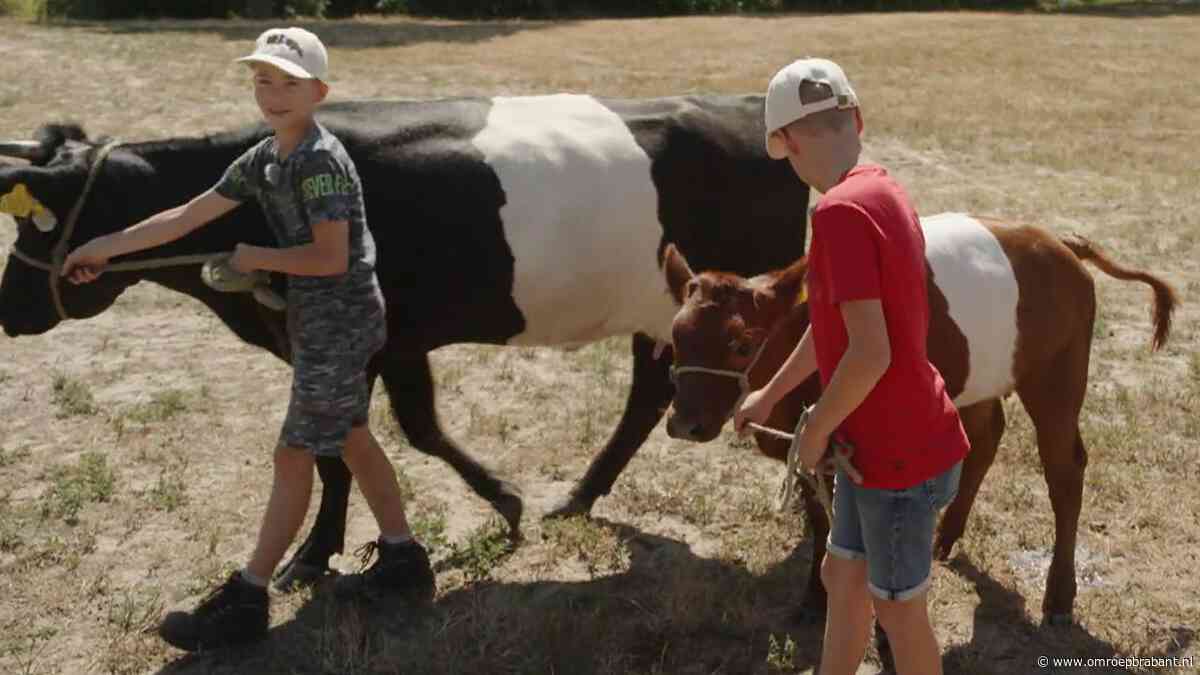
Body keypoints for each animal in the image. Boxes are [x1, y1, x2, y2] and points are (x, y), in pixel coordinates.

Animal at [0, 94, 809, 588]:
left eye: (42, 219)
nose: (9, 307)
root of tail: (749, 113)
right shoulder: (385, 346)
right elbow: (394, 435)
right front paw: (500, 501)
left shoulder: (362, 344)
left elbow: (358, 447)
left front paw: (313, 555)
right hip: (666, 317)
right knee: (648, 397)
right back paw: (580, 496)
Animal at [661, 213, 1177, 625]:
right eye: (676, 335)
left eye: (741, 344)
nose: (683, 422)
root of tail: (1060, 242)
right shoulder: (810, 442)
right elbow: (820, 519)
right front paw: (814, 599)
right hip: (975, 378)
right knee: (987, 437)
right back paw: (946, 537)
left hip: (1057, 379)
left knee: (1064, 471)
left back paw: (1059, 597)